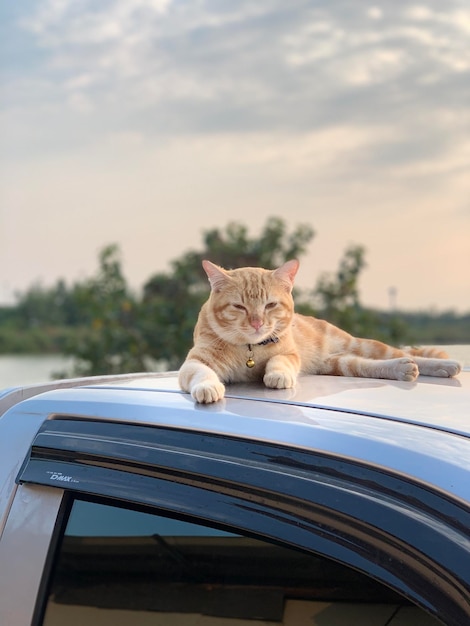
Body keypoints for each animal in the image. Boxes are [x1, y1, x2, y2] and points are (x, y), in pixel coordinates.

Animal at [178, 258, 460, 400]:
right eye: (239, 306)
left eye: (270, 305)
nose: (257, 323)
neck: (249, 350)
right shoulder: (194, 362)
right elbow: (202, 373)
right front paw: (208, 388)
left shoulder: (290, 354)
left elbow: (279, 361)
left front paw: (277, 375)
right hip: (340, 364)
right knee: (371, 366)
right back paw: (403, 370)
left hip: (358, 345)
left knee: (403, 354)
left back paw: (443, 366)